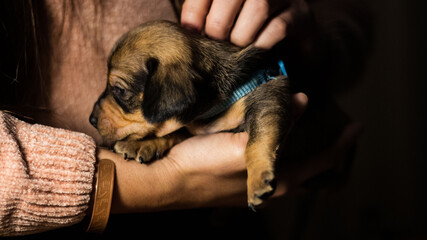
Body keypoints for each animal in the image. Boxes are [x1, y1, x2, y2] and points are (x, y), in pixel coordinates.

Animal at [89, 20, 290, 208]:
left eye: (119, 90)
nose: (91, 119)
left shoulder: (266, 97)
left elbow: (257, 140)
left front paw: (257, 178)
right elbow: (174, 132)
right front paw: (141, 144)